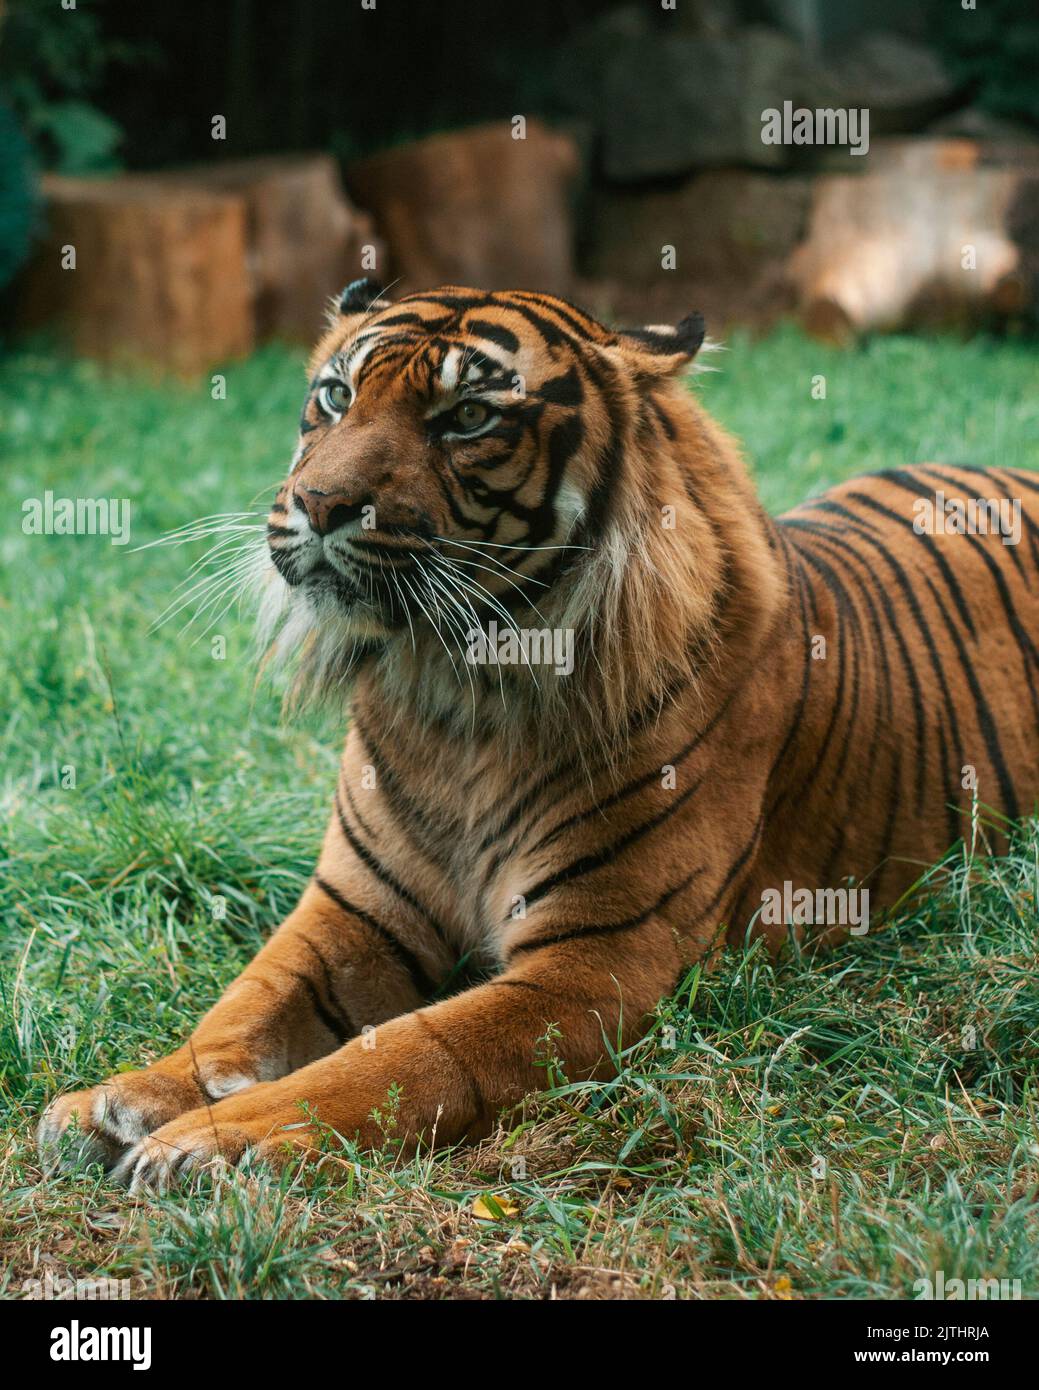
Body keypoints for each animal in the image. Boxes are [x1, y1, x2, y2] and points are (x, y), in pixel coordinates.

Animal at [38, 280, 1039, 1189]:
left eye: (469, 416)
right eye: (334, 395)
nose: (318, 503)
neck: (454, 693)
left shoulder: (596, 961)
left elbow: (403, 1054)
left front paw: (218, 1141)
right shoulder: (351, 910)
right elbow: (242, 1007)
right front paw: (120, 1100)